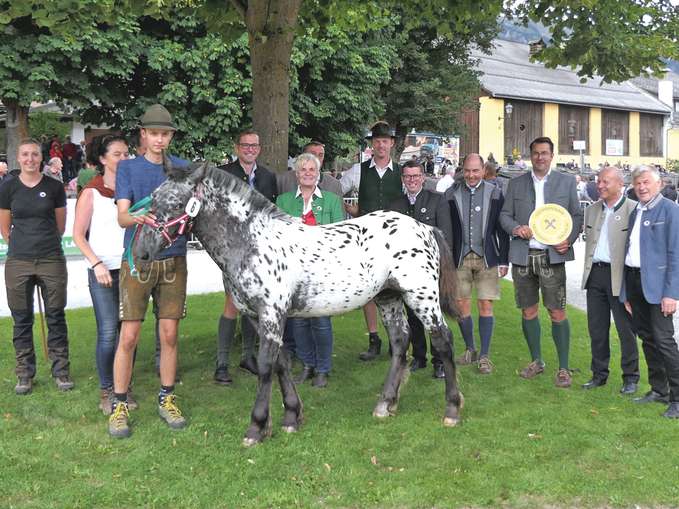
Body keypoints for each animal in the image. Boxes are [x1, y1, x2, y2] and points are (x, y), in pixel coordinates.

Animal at [135, 158, 464, 444]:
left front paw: (256, 428)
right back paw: (385, 404)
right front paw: (291, 417)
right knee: (399, 342)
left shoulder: (271, 314)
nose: (141, 252)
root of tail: (424, 228)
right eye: (153, 198)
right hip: (389, 298)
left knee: (443, 340)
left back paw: (451, 410)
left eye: (176, 203)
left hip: (422, 297)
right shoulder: (259, 317)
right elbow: (281, 363)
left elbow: (266, 366)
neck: (253, 242)